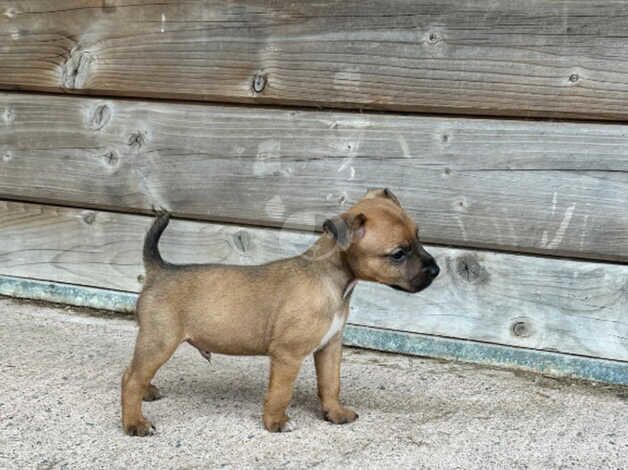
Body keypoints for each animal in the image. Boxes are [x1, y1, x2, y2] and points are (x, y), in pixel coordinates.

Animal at [120, 188, 440, 436]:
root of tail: (160, 269)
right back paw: (135, 422)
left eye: (419, 237)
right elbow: (280, 392)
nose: (436, 270)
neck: (329, 278)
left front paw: (335, 413)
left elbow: (331, 383)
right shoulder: (288, 355)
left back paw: (147, 393)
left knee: (135, 373)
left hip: (154, 343)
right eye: (398, 254)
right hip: (160, 341)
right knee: (130, 378)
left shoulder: (330, 346)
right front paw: (275, 422)